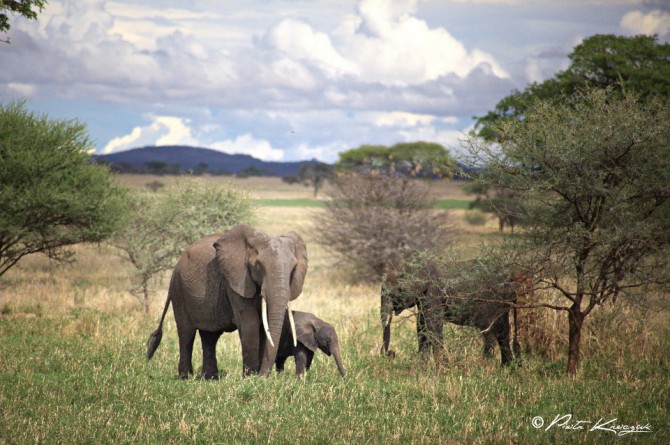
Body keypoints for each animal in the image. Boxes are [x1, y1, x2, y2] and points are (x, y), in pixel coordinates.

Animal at [147, 224, 310, 376]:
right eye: (258, 265)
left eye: (294, 268)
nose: (263, 376)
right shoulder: (236, 282)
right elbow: (249, 323)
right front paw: (250, 378)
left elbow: (264, 327)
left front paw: (256, 376)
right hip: (179, 290)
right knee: (186, 333)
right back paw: (186, 377)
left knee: (209, 336)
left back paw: (210, 378)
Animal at [380, 258, 524, 366]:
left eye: (393, 294)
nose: (391, 353)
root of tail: (512, 278)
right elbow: (422, 325)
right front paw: (422, 367)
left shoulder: (434, 292)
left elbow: (432, 325)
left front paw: (442, 367)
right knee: (503, 332)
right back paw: (507, 368)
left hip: (493, 303)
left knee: (490, 331)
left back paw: (485, 366)